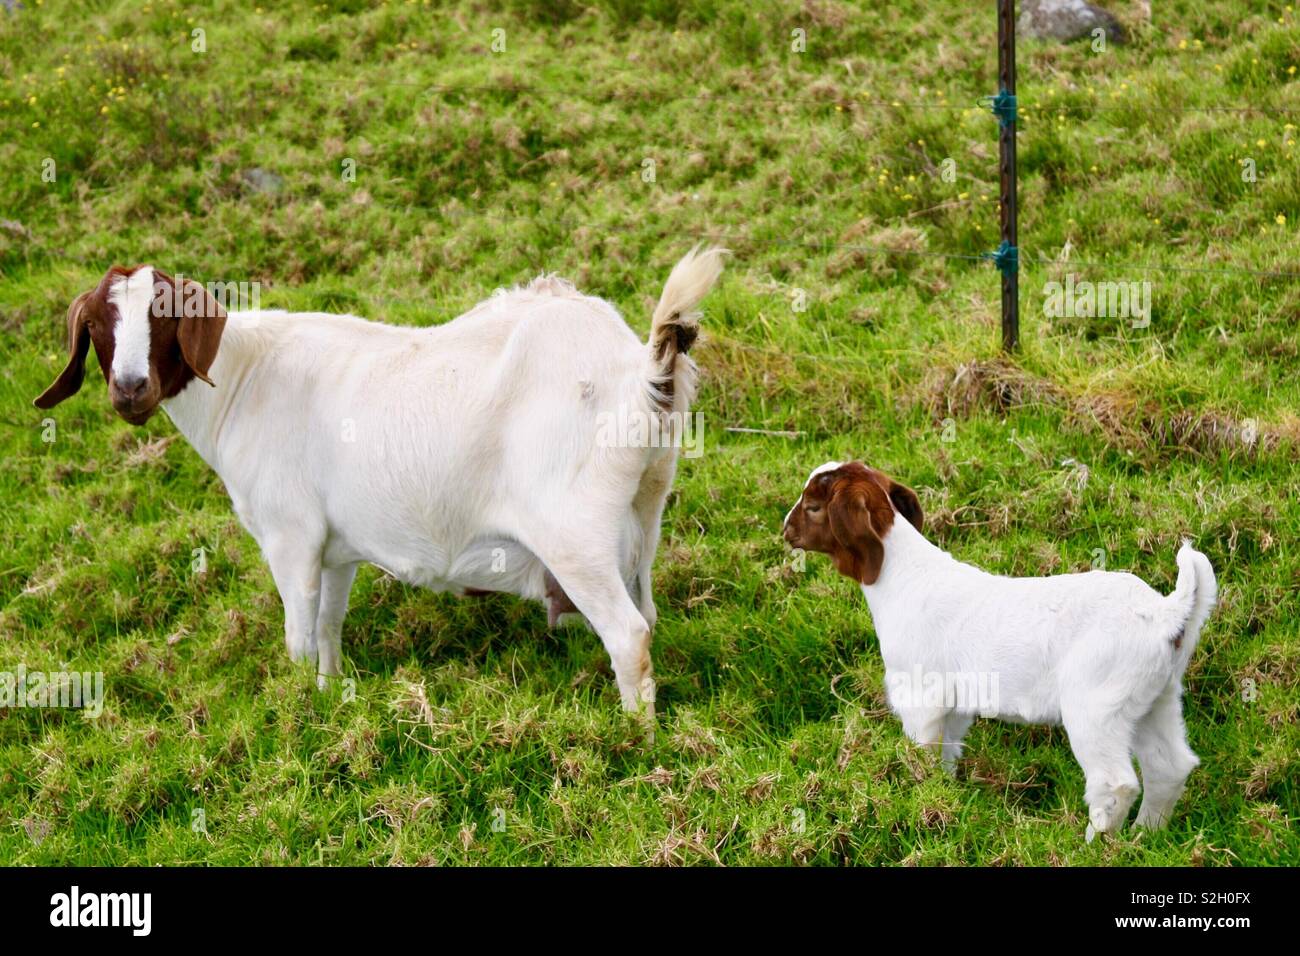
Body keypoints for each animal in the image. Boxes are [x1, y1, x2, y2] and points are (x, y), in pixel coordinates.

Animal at [35, 247, 728, 717]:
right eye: (97, 325)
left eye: (164, 317)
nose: (130, 390)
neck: (246, 377)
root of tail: (640, 374)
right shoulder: (336, 550)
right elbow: (327, 630)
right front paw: (331, 695)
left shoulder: (290, 537)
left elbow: (296, 637)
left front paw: (299, 711)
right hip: (643, 513)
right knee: (648, 613)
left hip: (573, 534)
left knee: (628, 635)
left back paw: (634, 741)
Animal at [780, 460, 1216, 842]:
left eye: (814, 507)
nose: (786, 531)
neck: (901, 575)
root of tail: (1166, 613)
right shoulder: (956, 705)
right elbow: (947, 755)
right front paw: (942, 796)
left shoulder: (922, 695)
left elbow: (922, 753)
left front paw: (915, 796)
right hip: (1155, 699)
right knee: (1169, 766)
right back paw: (1146, 835)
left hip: (1097, 706)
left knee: (1116, 782)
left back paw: (1094, 844)